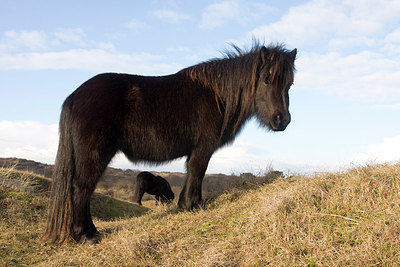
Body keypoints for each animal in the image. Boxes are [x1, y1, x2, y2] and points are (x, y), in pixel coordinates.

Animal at [43, 42, 296, 245]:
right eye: (266, 79)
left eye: (290, 84)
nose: (282, 120)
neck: (216, 95)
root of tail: (75, 95)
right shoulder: (203, 147)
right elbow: (198, 172)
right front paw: (194, 205)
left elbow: (191, 173)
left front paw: (186, 205)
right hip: (94, 154)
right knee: (81, 188)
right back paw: (85, 235)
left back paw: (92, 231)